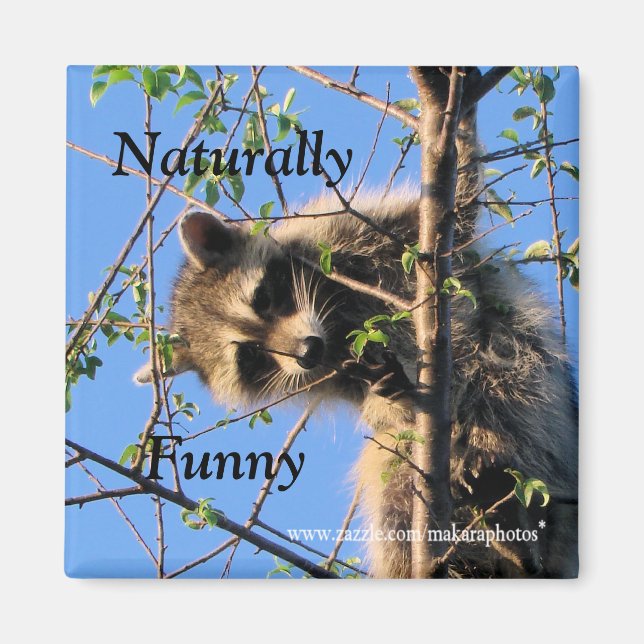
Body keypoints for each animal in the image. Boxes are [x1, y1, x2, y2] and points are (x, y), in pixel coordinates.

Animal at [136, 88, 578, 579]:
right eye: (249, 356)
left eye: (263, 299)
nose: (306, 352)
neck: (334, 320)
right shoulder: (337, 371)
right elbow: (379, 411)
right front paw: (393, 396)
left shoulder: (354, 235)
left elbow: (457, 208)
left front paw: (459, 124)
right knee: (392, 467)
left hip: (534, 396)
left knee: (505, 388)